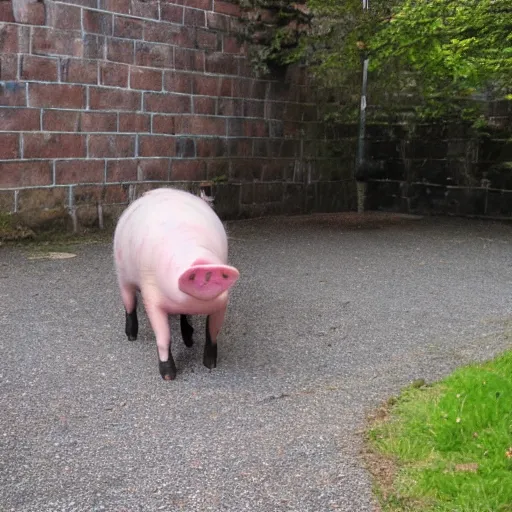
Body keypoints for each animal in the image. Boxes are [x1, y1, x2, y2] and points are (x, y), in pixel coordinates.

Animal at [112, 188, 240, 380]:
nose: (204, 265)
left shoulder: (222, 303)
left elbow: (212, 332)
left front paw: (210, 366)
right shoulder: (151, 298)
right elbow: (164, 337)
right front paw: (168, 376)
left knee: (184, 317)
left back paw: (189, 340)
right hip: (122, 276)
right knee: (129, 304)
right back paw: (131, 337)